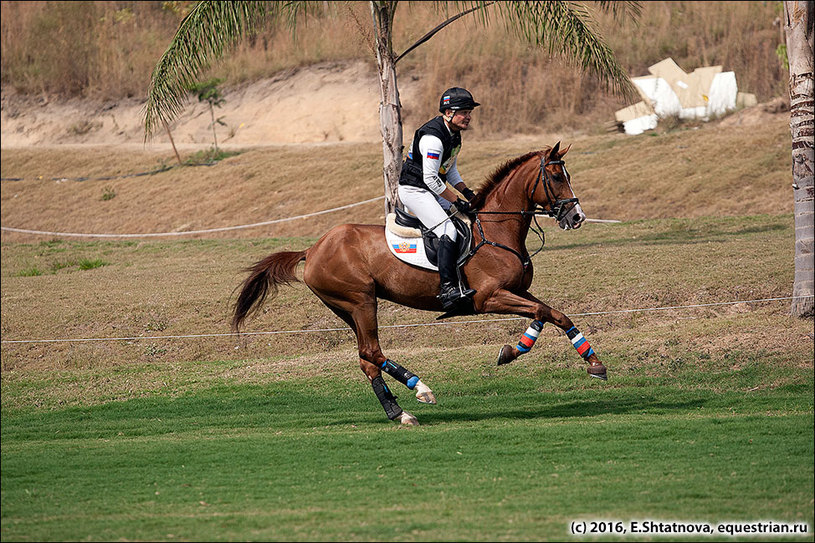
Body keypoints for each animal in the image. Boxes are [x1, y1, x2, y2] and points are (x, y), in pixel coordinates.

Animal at [233, 142, 608, 428]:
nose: (577, 217)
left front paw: (561, 357)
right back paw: (420, 388)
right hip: (361, 301)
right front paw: (584, 362)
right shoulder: (489, 297)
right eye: (556, 177)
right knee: (372, 352)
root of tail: (311, 249)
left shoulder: (516, 291)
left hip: (347, 309)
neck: (496, 230)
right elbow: (547, 313)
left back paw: (398, 412)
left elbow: (549, 314)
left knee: (367, 359)